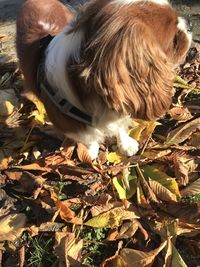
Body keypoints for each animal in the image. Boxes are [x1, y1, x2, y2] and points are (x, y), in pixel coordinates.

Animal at [16, 0, 192, 159]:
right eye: (174, 40)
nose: (189, 24)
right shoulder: (74, 129)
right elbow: (91, 139)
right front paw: (89, 152)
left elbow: (120, 127)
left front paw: (126, 144)